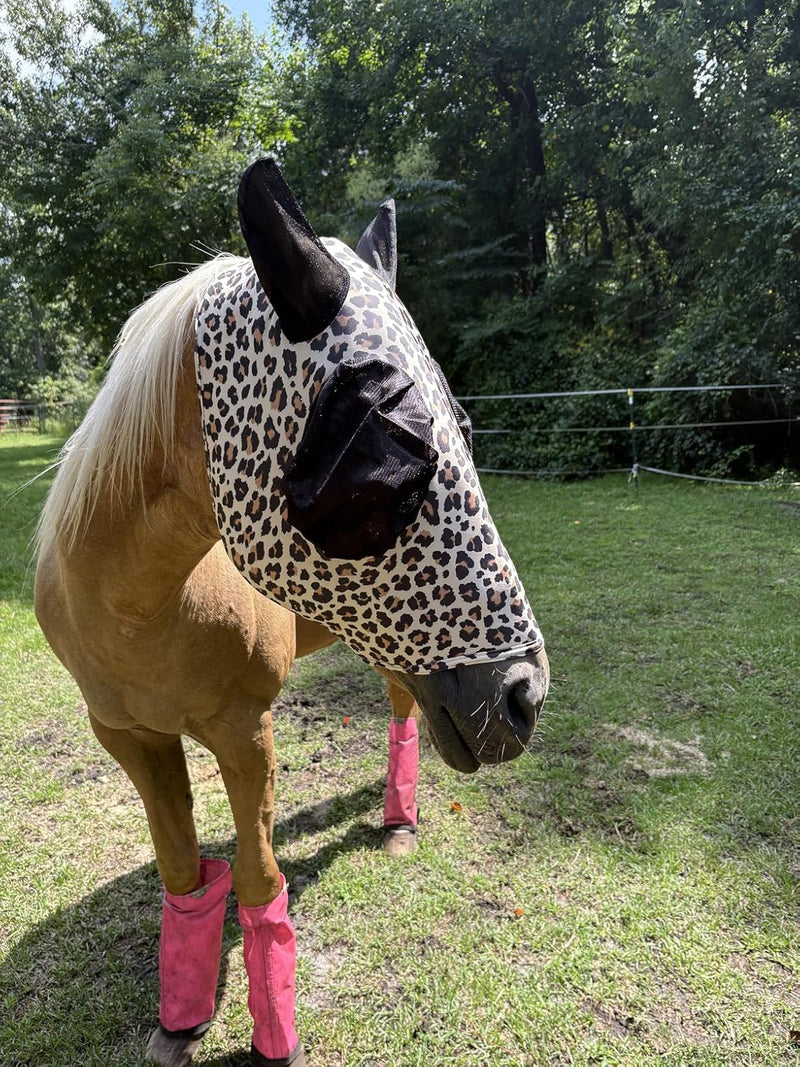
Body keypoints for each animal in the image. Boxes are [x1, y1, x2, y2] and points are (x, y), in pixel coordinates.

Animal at [34, 159, 549, 1067]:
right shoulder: (130, 737)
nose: (524, 696)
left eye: (464, 428)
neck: (138, 607)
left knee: (403, 707)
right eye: (387, 460)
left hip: (396, 651)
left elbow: (257, 878)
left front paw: (276, 1034)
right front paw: (180, 1017)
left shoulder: (246, 730)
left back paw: (399, 823)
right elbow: (183, 871)